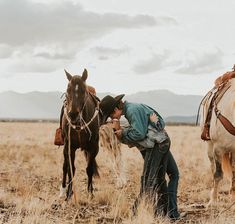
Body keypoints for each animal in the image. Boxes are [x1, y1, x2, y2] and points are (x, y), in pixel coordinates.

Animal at [60, 68, 99, 200]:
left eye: (83, 90)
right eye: (68, 89)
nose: (72, 114)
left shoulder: (93, 147)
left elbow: (89, 169)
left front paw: (90, 192)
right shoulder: (69, 147)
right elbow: (71, 169)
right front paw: (68, 194)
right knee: (65, 166)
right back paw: (62, 190)